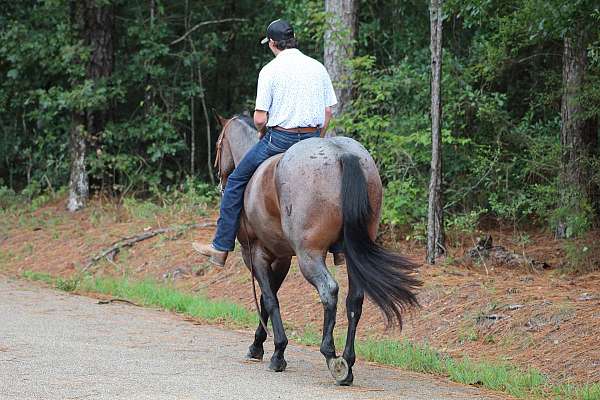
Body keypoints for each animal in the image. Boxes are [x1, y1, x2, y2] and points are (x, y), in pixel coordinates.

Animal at [213, 114, 420, 386]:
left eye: (218, 144)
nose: (219, 176)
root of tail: (341, 153)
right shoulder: (282, 257)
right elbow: (269, 297)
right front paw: (261, 346)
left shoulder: (255, 254)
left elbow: (269, 299)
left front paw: (276, 352)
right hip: (352, 256)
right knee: (355, 300)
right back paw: (348, 361)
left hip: (309, 255)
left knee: (329, 290)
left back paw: (331, 356)